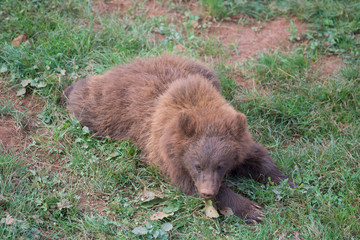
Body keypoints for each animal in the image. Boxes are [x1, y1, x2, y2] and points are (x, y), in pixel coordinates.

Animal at [62, 54, 292, 223]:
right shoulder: (168, 154)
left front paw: (283, 181)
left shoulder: (238, 139)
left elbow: (259, 158)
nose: (207, 192)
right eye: (198, 165)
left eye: (221, 165)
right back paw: (69, 89)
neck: (197, 102)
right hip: (105, 111)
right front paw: (251, 209)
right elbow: (189, 185)